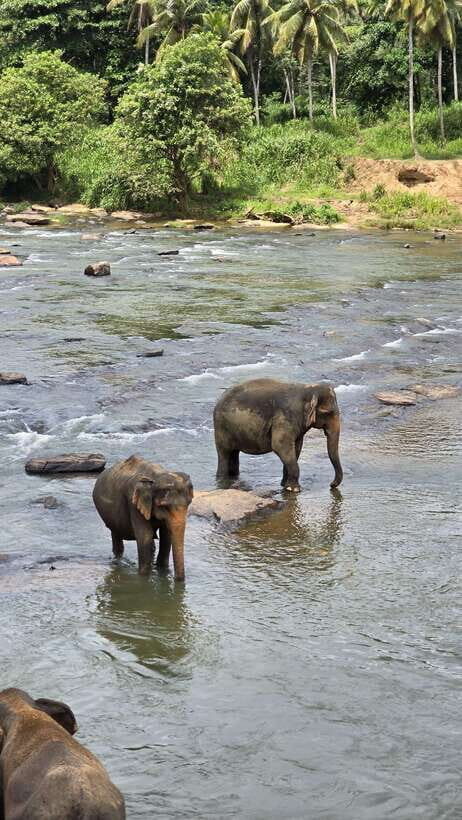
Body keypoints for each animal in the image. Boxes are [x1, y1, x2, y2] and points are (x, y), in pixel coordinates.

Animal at [213, 378, 343, 492]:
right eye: (327, 412)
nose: (331, 484)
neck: (308, 389)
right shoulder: (284, 418)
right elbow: (280, 446)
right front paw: (294, 489)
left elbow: (296, 448)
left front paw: (285, 486)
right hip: (221, 429)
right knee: (224, 454)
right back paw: (222, 480)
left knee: (234, 454)